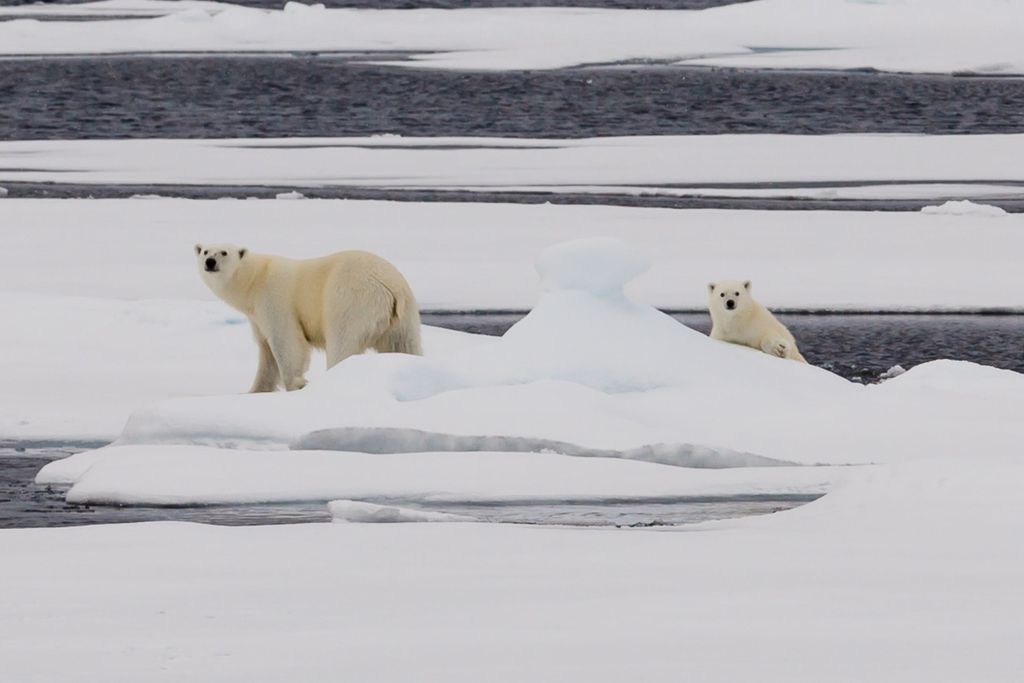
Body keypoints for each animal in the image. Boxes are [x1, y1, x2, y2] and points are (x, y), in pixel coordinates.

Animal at [195, 244, 419, 395]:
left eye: (224, 252)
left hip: (351, 300)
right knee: (405, 346)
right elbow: (266, 354)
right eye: (205, 251)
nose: (210, 262)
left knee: (342, 342)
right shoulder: (257, 317)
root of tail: (391, 287)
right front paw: (253, 391)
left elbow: (287, 342)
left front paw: (297, 384)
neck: (255, 278)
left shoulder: (274, 300)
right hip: (403, 318)